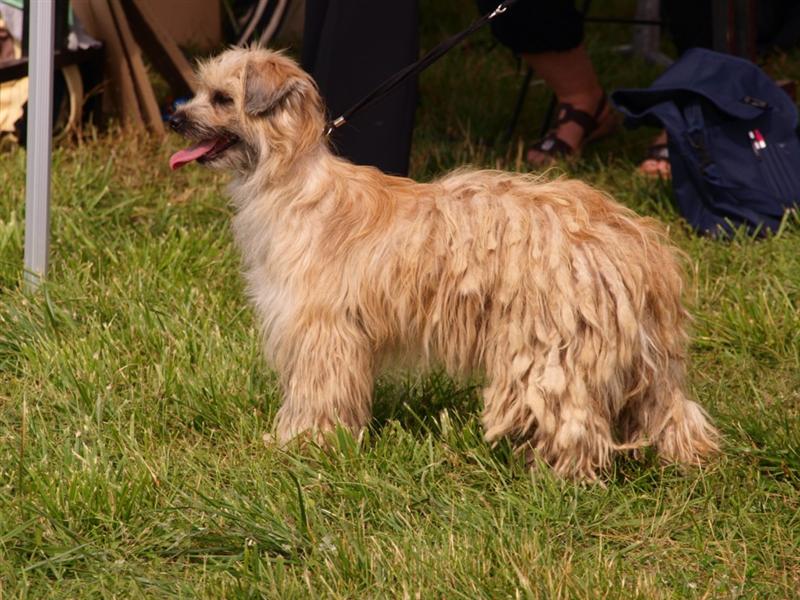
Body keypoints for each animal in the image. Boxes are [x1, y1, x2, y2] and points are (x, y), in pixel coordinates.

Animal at [169, 47, 720, 480]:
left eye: (221, 98)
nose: (174, 119)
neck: (292, 182)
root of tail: (630, 237)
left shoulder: (322, 333)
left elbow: (317, 392)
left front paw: (302, 443)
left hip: (549, 349)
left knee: (572, 417)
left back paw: (556, 478)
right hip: (644, 353)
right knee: (670, 407)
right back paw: (687, 461)